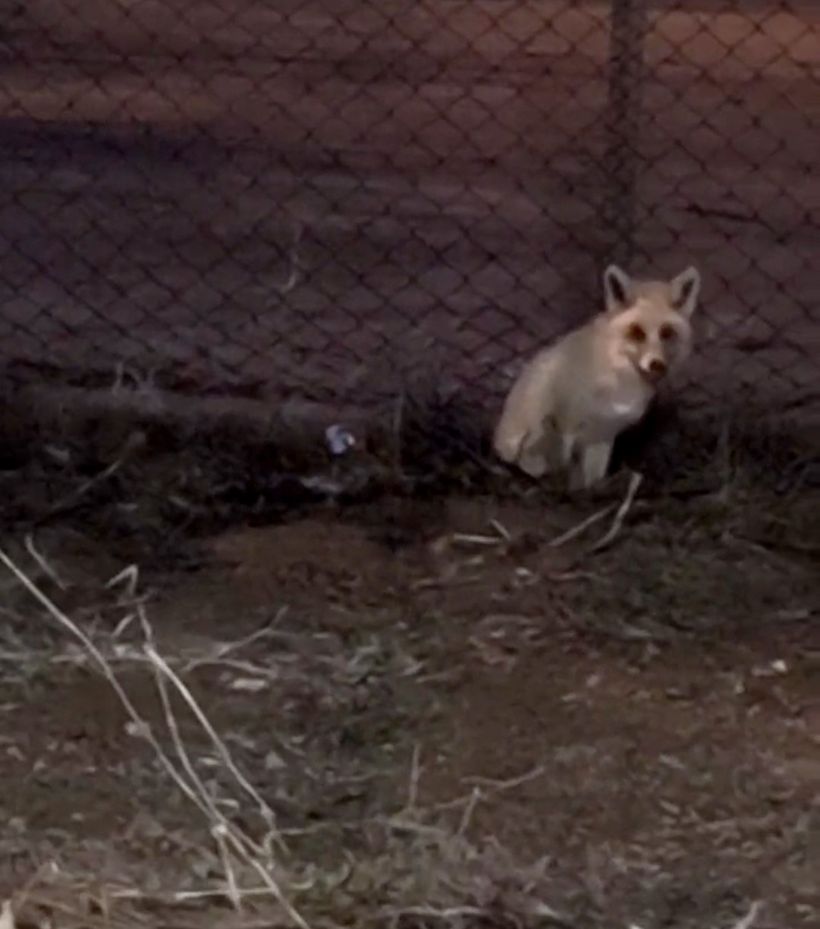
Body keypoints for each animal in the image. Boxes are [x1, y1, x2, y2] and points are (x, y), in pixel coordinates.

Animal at [490, 262, 700, 490]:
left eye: (667, 333)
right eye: (637, 332)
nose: (656, 364)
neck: (617, 378)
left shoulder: (602, 436)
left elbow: (592, 482)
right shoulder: (569, 424)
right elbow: (566, 475)